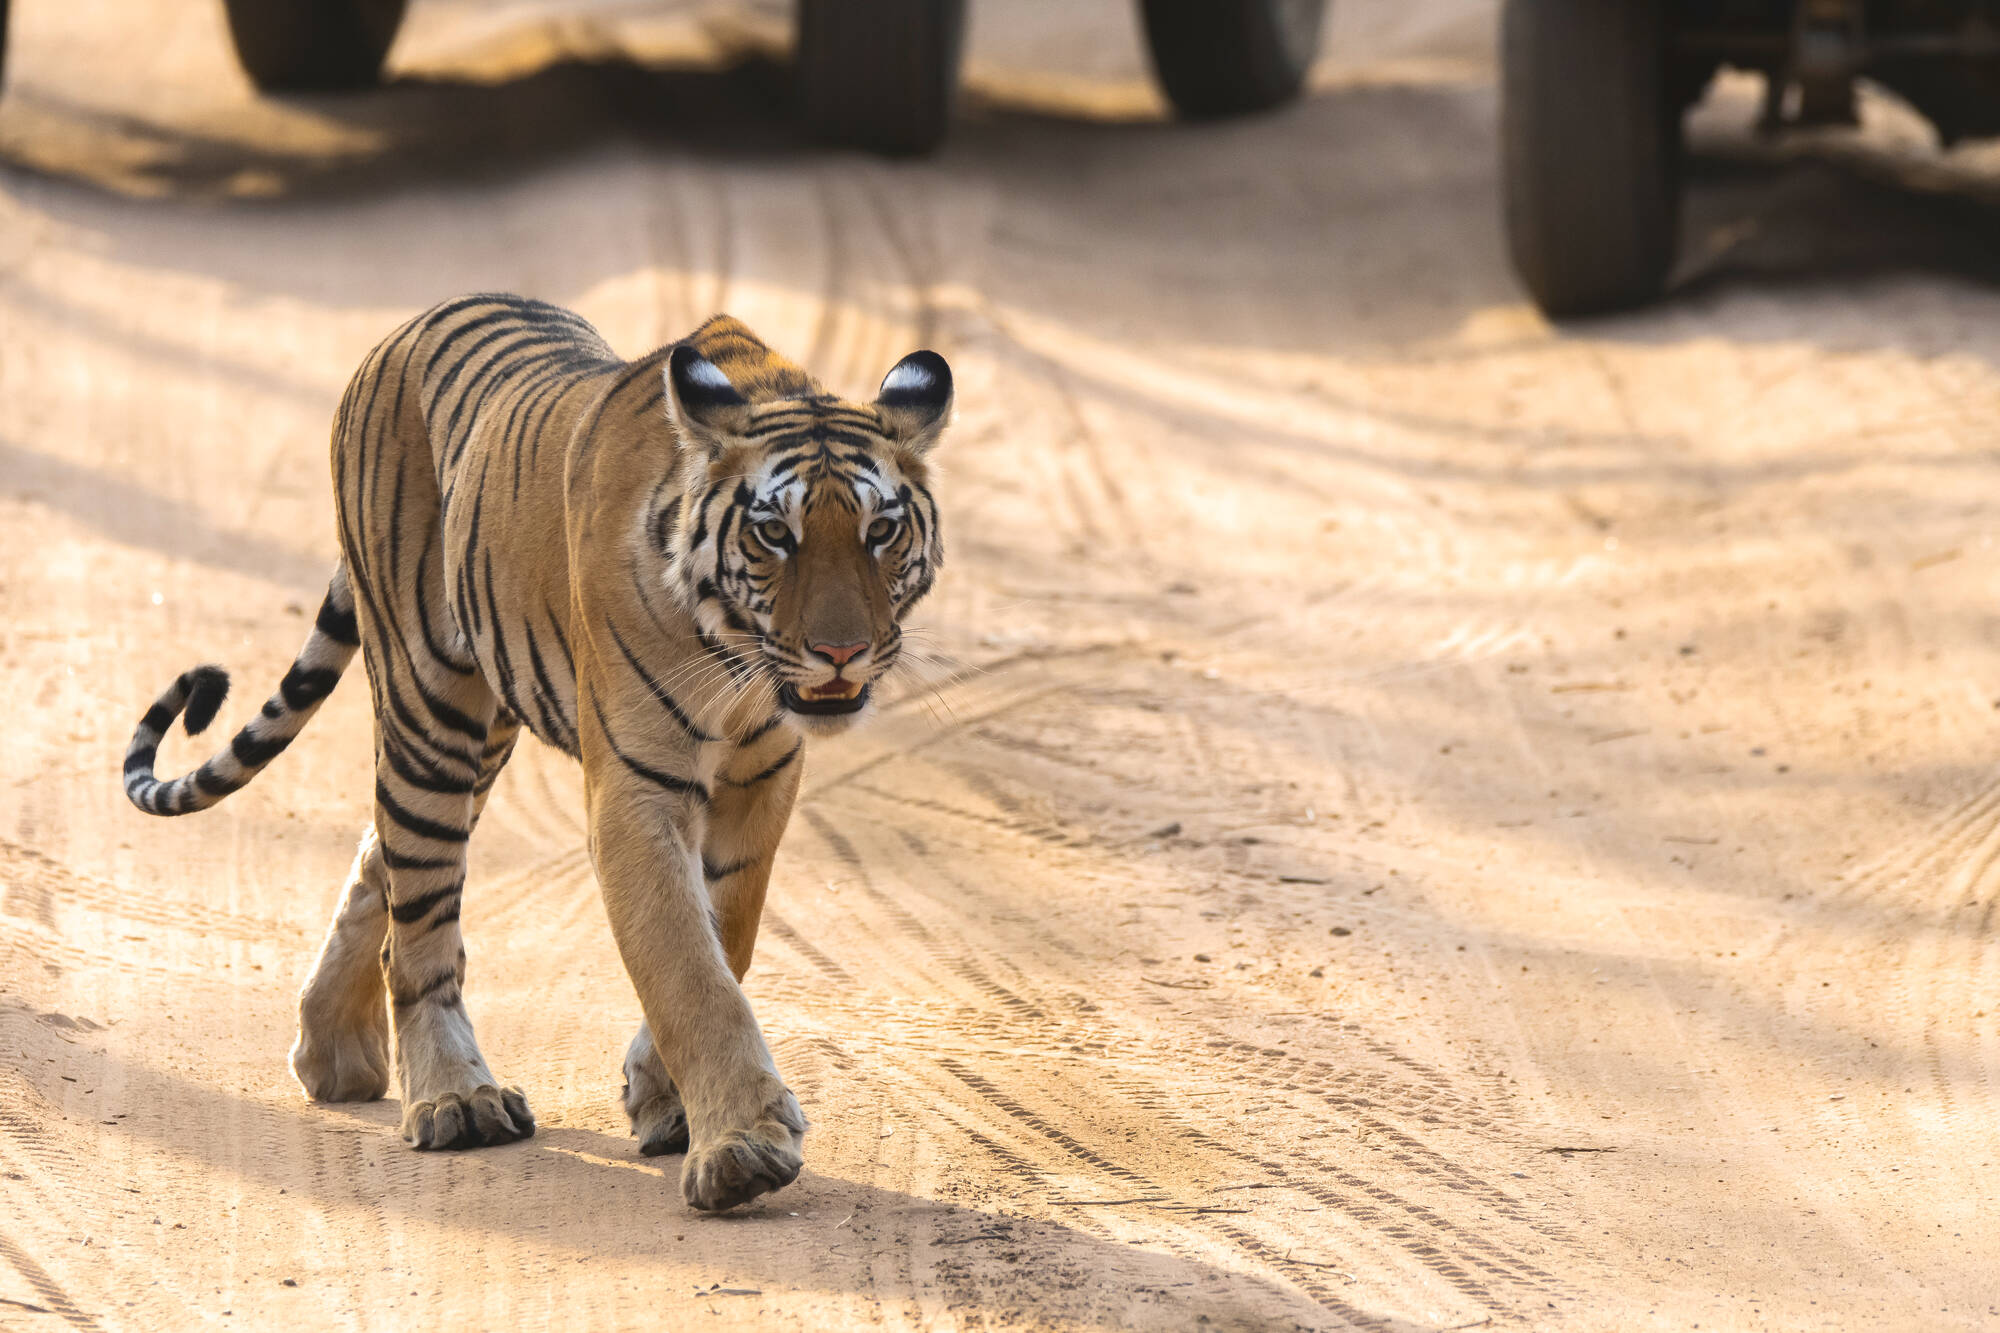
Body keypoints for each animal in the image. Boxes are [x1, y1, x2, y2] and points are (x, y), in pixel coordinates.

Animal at [121, 295, 952, 1212]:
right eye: (775, 534)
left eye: (881, 530)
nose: (842, 653)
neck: (735, 654)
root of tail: (402, 330)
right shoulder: (635, 789)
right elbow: (688, 969)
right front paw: (741, 1148)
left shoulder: (762, 776)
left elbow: (724, 939)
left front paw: (665, 1098)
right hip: (429, 708)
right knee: (418, 923)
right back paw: (455, 1097)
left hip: (481, 732)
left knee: (383, 860)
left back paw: (331, 1053)